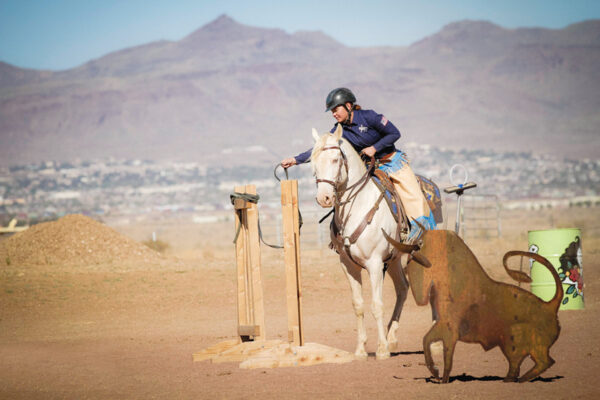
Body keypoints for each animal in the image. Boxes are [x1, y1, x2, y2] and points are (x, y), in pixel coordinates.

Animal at [310, 124, 412, 360]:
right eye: (313, 163)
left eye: (336, 160)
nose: (324, 198)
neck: (356, 207)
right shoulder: (349, 266)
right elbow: (358, 305)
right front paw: (361, 349)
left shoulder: (374, 264)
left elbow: (376, 304)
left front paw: (381, 349)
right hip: (394, 260)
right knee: (403, 288)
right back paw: (392, 338)